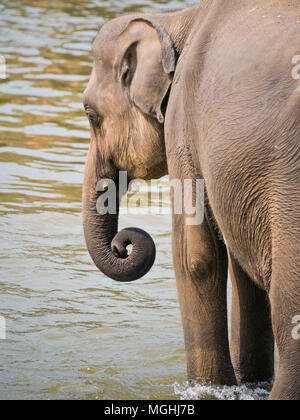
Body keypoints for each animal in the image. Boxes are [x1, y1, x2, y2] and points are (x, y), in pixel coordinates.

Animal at [82, 0, 300, 400]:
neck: (176, 19)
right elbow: (242, 269)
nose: (123, 243)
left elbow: (197, 258)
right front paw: (249, 385)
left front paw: (206, 390)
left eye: (92, 116)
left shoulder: (182, 120)